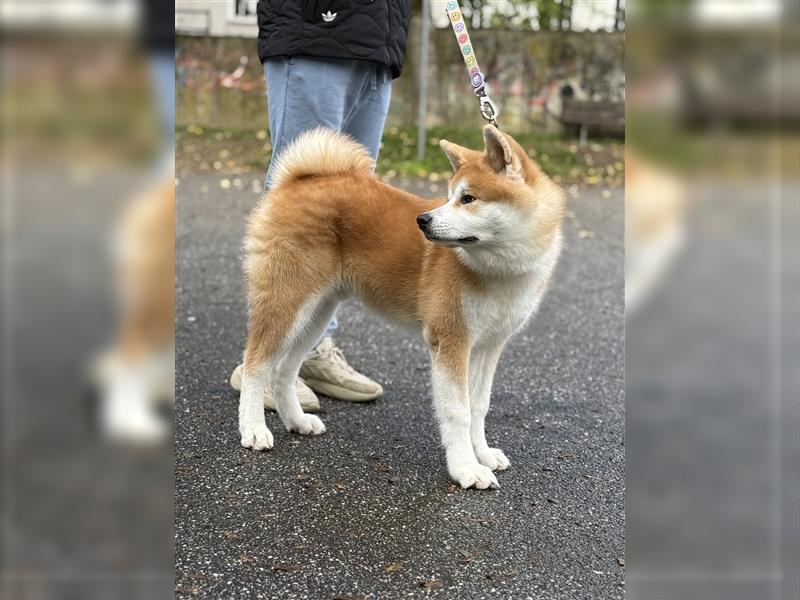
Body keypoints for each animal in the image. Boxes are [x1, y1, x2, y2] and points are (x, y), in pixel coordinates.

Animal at [236, 125, 564, 488]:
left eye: (467, 198)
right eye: (450, 195)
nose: (423, 220)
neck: (497, 271)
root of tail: (298, 180)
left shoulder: (489, 345)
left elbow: (479, 406)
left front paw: (484, 455)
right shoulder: (451, 340)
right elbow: (458, 411)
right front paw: (466, 468)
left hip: (317, 313)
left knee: (285, 369)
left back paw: (297, 420)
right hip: (288, 301)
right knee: (256, 363)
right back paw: (253, 429)